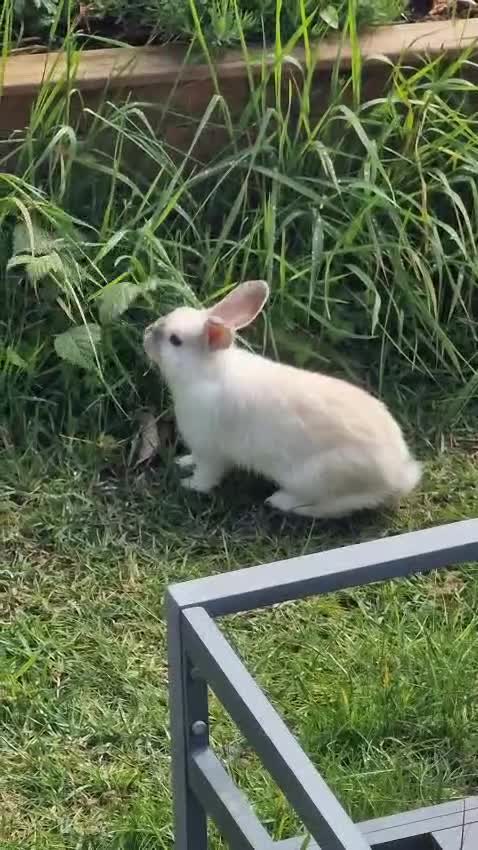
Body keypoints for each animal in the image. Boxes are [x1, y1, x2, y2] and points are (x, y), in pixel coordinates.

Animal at [143, 280, 421, 519]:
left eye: (175, 340)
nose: (147, 332)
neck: (203, 371)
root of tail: (398, 474)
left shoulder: (211, 451)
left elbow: (206, 476)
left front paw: (188, 484)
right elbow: (193, 460)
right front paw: (182, 462)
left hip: (316, 479)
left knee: (332, 506)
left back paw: (280, 501)